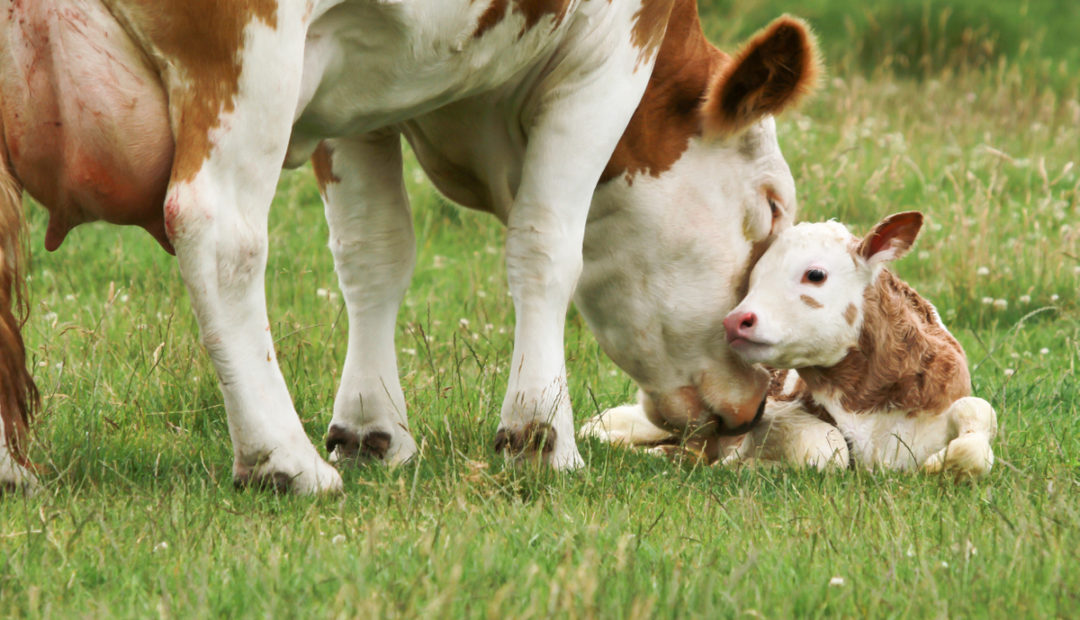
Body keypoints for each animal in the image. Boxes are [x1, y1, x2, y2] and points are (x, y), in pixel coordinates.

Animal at [0, 1, 816, 496]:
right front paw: (541, 436)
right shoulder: (609, 56)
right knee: (219, 232)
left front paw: (371, 428)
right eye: (772, 207)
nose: (756, 404)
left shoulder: (359, 93)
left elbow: (374, 252)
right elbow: (548, 245)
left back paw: (12, 471)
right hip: (247, 57)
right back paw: (282, 460)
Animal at [721, 211, 997, 479]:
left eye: (815, 275)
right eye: (752, 279)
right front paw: (749, 465)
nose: (735, 320)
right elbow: (828, 449)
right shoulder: (774, 410)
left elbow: (979, 417)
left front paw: (938, 466)